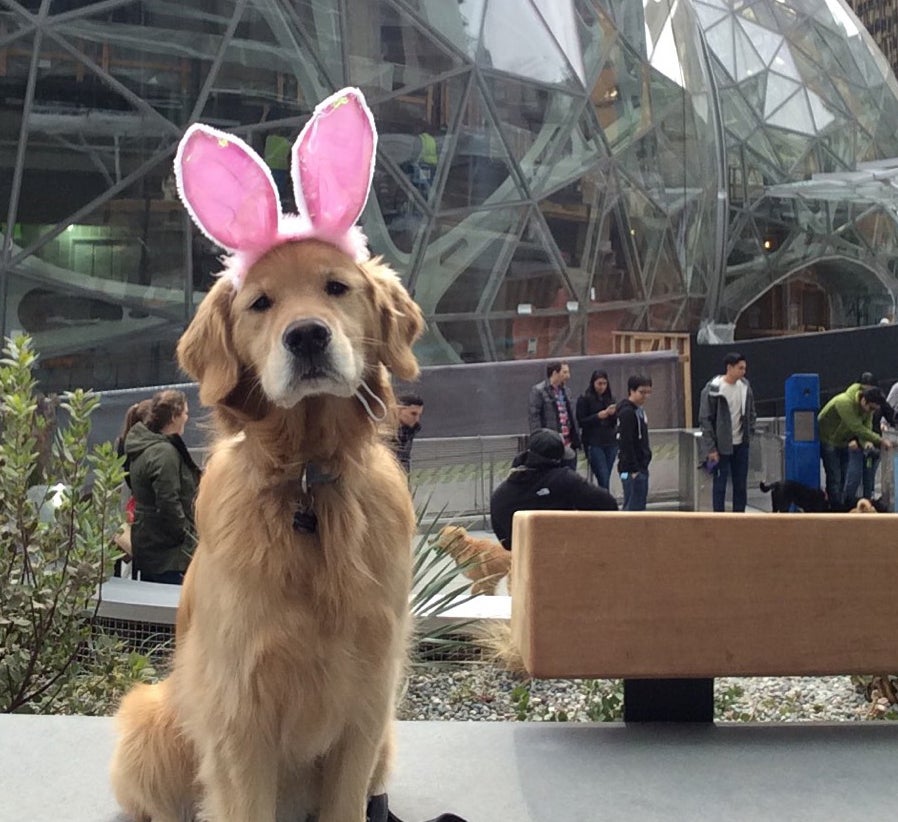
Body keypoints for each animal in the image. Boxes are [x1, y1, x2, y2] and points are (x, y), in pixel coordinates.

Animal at [108, 238, 424, 822]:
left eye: (336, 286)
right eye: (260, 303)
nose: (307, 336)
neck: (306, 481)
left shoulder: (367, 704)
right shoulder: (241, 711)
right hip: (149, 723)